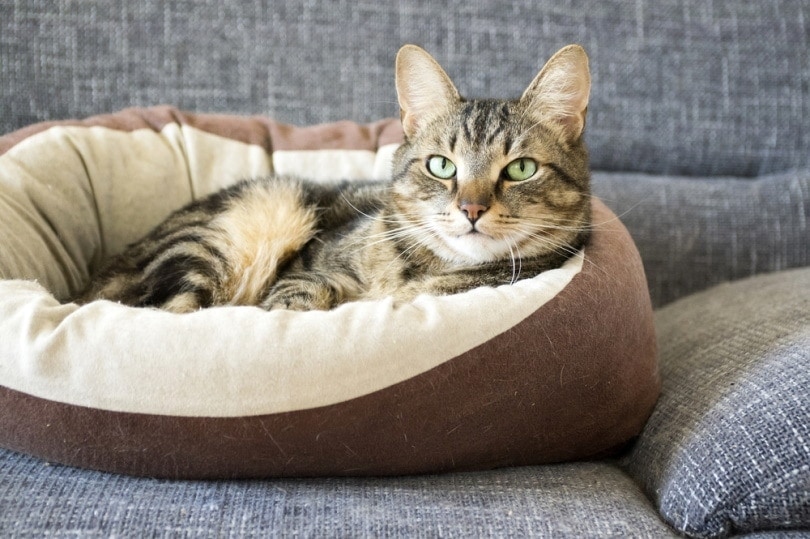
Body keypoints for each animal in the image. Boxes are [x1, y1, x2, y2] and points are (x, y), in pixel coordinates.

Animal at [77, 44, 588, 314]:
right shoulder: (309, 269)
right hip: (233, 232)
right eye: (441, 166)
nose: (472, 208)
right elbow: (300, 296)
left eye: (521, 169)